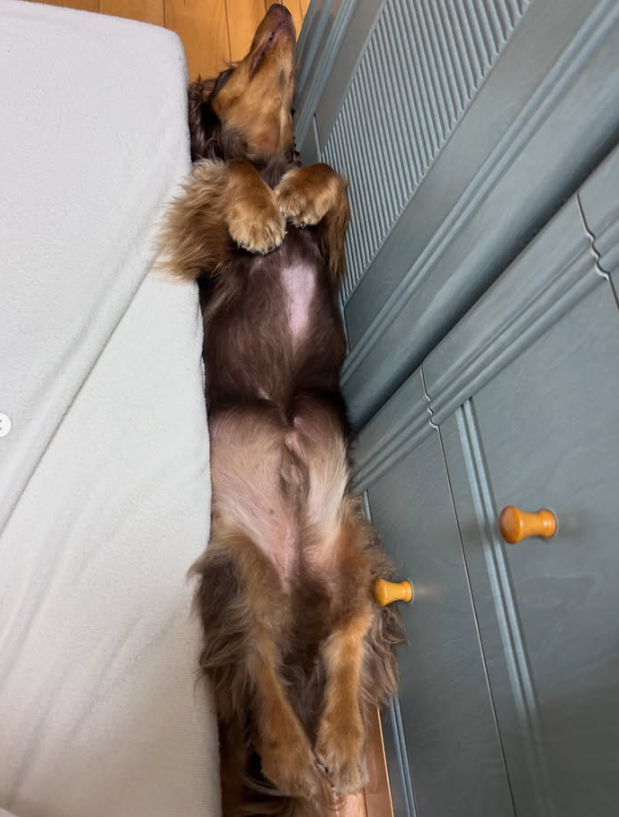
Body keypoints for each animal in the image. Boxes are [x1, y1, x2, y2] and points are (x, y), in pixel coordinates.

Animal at [160, 5, 404, 815]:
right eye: (226, 67)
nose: (278, 11)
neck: (271, 158)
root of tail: (297, 580)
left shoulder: (331, 247)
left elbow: (332, 177)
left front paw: (297, 195)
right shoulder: (204, 246)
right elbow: (225, 171)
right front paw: (262, 214)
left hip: (355, 550)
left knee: (347, 631)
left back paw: (342, 743)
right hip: (237, 566)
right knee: (257, 658)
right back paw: (294, 755)